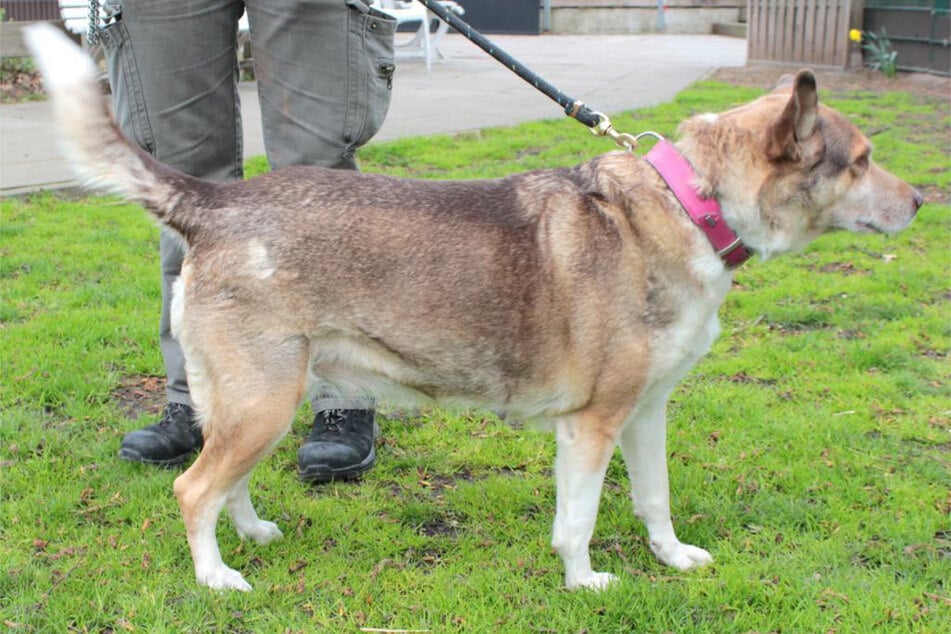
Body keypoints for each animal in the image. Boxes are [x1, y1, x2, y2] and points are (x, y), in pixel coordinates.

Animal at [27, 23, 924, 588]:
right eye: (860, 161)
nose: (920, 201)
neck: (683, 202)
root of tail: (214, 202)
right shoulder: (591, 426)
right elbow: (578, 520)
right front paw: (586, 582)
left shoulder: (645, 414)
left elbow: (655, 500)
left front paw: (672, 561)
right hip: (263, 401)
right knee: (193, 489)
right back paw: (218, 577)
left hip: (254, 403)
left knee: (224, 482)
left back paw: (247, 537)